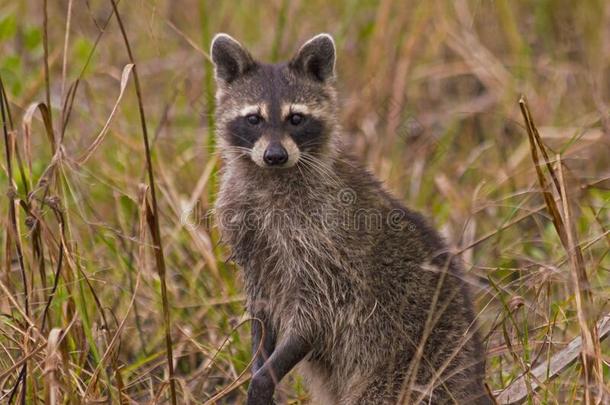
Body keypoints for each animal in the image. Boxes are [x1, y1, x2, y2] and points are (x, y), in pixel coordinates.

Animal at [211, 33, 492, 402]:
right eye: (253, 119)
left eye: (296, 119)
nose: (275, 156)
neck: (270, 178)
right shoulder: (249, 236)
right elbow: (262, 308)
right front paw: (259, 364)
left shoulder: (326, 246)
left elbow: (316, 315)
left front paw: (266, 376)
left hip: (410, 368)